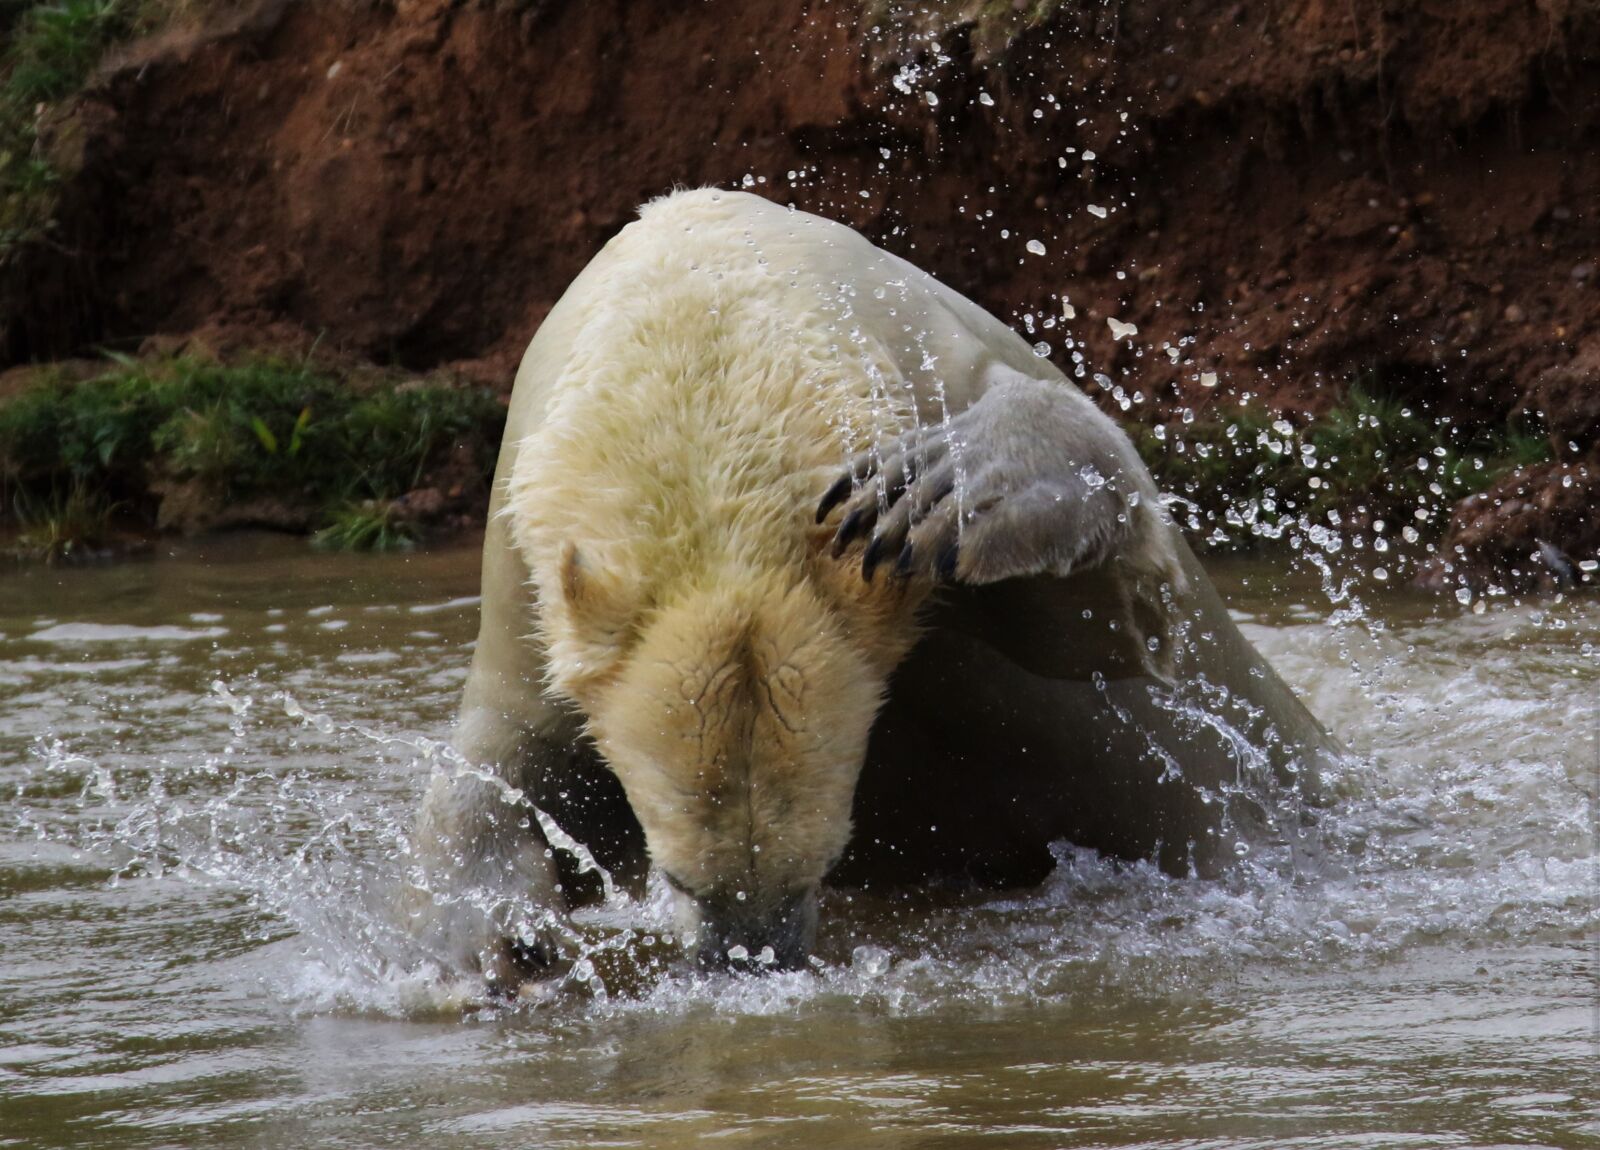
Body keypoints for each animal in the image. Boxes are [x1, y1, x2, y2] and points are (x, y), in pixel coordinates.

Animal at [411, 188, 1341, 988]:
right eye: (680, 879)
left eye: (819, 867)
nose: (751, 959)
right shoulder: (527, 554)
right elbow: (510, 753)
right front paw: (498, 945)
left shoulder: (934, 362)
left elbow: (1120, 627)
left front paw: (953, 486)